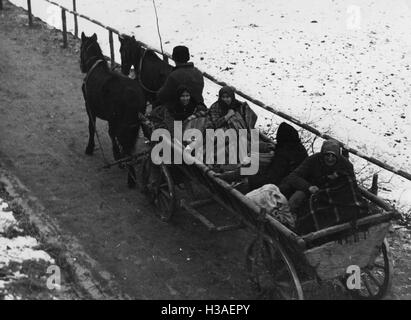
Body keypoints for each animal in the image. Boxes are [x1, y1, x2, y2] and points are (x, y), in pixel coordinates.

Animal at [79, 32, 146, 188]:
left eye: (81, 48)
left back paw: (131, 179)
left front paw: (90, 148)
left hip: (125, 126)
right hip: (135, 125)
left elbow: (92, 128)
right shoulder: (111, 118)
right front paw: (117, 155)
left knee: (128, 148)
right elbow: (111, 133)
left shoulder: (89, 107)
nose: (81, 66)